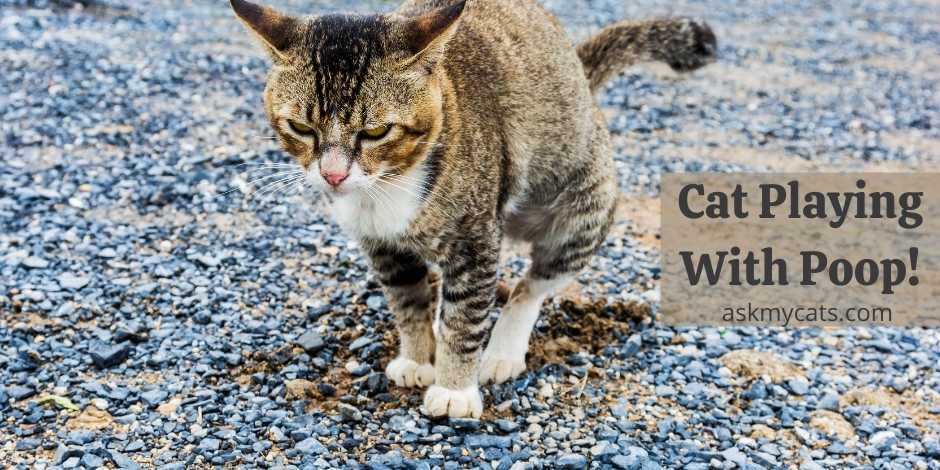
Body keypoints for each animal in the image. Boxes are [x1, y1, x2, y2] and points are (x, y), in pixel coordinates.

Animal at [231, 0, 716, 418]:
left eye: (376, 132)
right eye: (300, 127)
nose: (332, 175)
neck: (388, 188)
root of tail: (580, 75)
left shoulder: (475, 239)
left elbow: (465, 320)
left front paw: (453, 388)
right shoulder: (381, 246)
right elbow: (407, 302)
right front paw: (417, 356)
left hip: (582, 211)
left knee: (532, 286)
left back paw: (502, 349)